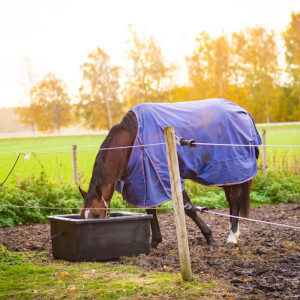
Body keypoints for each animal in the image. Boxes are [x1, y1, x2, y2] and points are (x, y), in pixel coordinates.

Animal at [78, 99, 262, 246]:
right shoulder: (145, 180)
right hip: (227, 176)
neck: (133, 141)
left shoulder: (167, 178)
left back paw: (232, 237)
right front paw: (155, 241)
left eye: (96, 214)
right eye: (81, 215)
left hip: (234, 169)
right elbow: (150, 210)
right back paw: (234, 232)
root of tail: (244, 113)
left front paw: (209, 236)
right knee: (232, 201)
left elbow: (188, 209)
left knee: (235, 200)